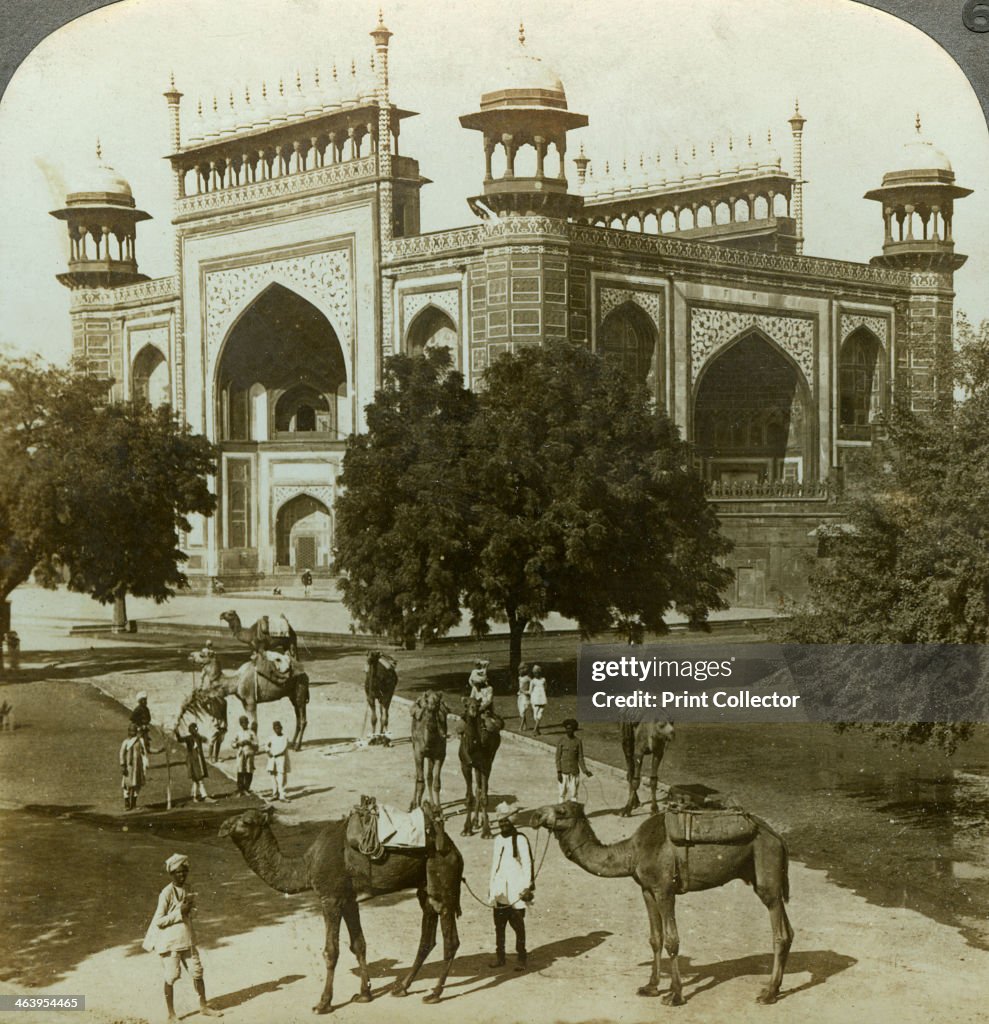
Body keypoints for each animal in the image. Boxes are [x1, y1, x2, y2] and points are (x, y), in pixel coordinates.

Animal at [221, 806, 464, 1015]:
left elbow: (331, 951)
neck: (305, 866)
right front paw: (365, 994)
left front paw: (323, 1003)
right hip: (425, 889)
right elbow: (358, 944)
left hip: (443, 879)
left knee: (450, 940)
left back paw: (434, 994)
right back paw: (402, 988)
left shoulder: (331, 898)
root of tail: (455, 851)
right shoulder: (348, 900)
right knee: (427, 938)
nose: (223, 827)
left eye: (246, 821)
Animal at [458, 696, 503, 839]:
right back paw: (476, 822)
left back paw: (482, 821)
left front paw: (487, 832)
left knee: (484, 788)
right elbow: (469, 798)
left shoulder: (484, 765)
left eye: (478, 705)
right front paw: (466, 829)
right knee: (478, 788)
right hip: (476, 767)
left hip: (491, 759)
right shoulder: (465, 765)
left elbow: (484, 796)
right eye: (466, 705)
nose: (473, 711)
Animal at [536, 798, 794, 1007]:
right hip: (763, 876)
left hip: (766, 870)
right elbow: (655, 938)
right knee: (789, 930)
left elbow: (672, 941)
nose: (537, 814)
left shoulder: (664, 890)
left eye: (561, 811)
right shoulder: (647, 890)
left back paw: (768, 994)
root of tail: (779, 838)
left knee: (779, 932)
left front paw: (675, 996)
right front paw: (651, 987)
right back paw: (775, 987)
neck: (632, 852)